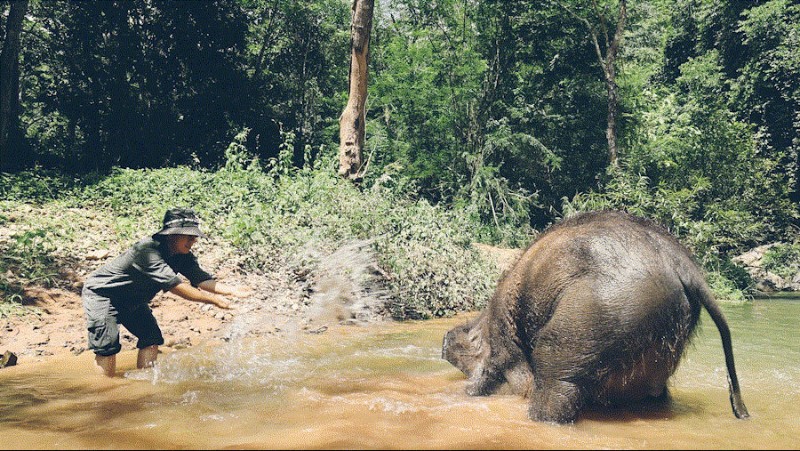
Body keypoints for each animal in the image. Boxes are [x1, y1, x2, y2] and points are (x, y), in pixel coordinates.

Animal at [444, 210, 752, 426]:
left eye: (467, 336)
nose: (445, 338)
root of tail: (684, 264)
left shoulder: (505, 341)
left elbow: (510, 378)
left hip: (597, 309)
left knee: (553, 370)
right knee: (653, 392)